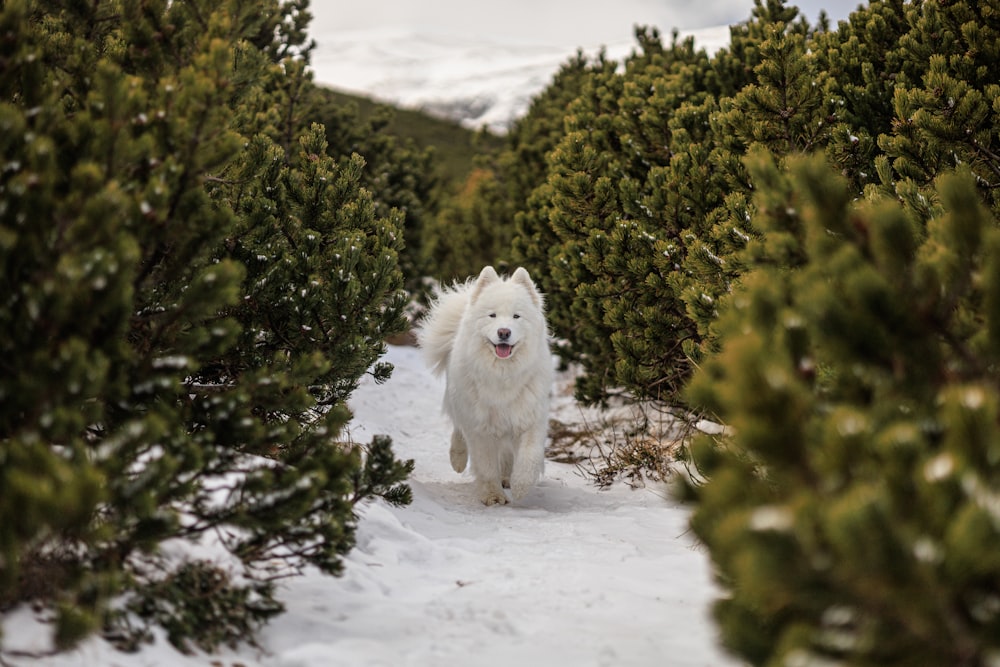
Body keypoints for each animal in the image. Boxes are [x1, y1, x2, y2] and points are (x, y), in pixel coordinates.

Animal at [416, 266, 552, 506]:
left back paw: (507, 477)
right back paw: (458, 459)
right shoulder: (480, 426)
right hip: (460, 403)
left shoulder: (529, 417)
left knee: (506, 455)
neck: (503, 375)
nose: (504, 332)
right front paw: (493, 496)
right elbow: (486, 466)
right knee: (458, 431)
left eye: (516, 316)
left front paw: (520, 486)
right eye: (492, 315)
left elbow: (529, 455)